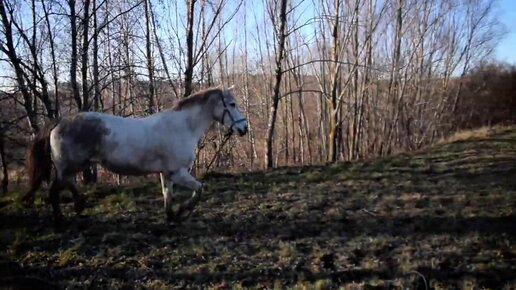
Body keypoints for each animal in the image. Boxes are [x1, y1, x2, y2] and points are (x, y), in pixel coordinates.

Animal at [23, 85, 249, 223]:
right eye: (232, 104)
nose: (244, 128)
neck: (182, 127)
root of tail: (60, 121)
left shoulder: (167, 174)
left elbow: (168, 195)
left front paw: (171, 216)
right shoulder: (178, 173)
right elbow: (199, 189)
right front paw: (183, 211)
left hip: (74, 166)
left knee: (66, 184)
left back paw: (79, 206)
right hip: (68, 166)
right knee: (55, 189)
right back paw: (62, 216)